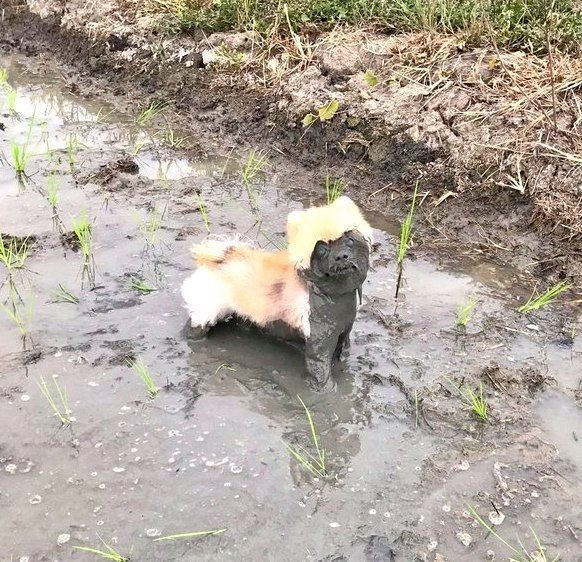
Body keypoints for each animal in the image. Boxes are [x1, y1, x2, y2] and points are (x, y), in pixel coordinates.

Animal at [181, 196, 373, 390]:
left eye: (349, 239)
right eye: (321, 249)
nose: (341, 257)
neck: (332, 295)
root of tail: (221, 259)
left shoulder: (344, 332)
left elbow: (344, 351)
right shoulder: (319, 341)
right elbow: (321, 370)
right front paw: (327, 391)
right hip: (207, 310)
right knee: (196, 325)